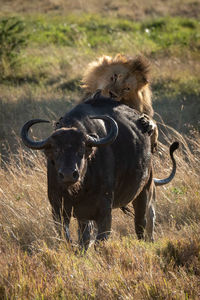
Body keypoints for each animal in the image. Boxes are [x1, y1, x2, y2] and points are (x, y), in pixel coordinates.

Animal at [21, 95, 179, 248]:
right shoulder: (59, 209)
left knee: (142, 223)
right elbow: (70, 239)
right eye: (56, 150)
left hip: (144, 190)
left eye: (81, 150)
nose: (68, 175)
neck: (79, 190)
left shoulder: (104, 210)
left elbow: (100, 241)